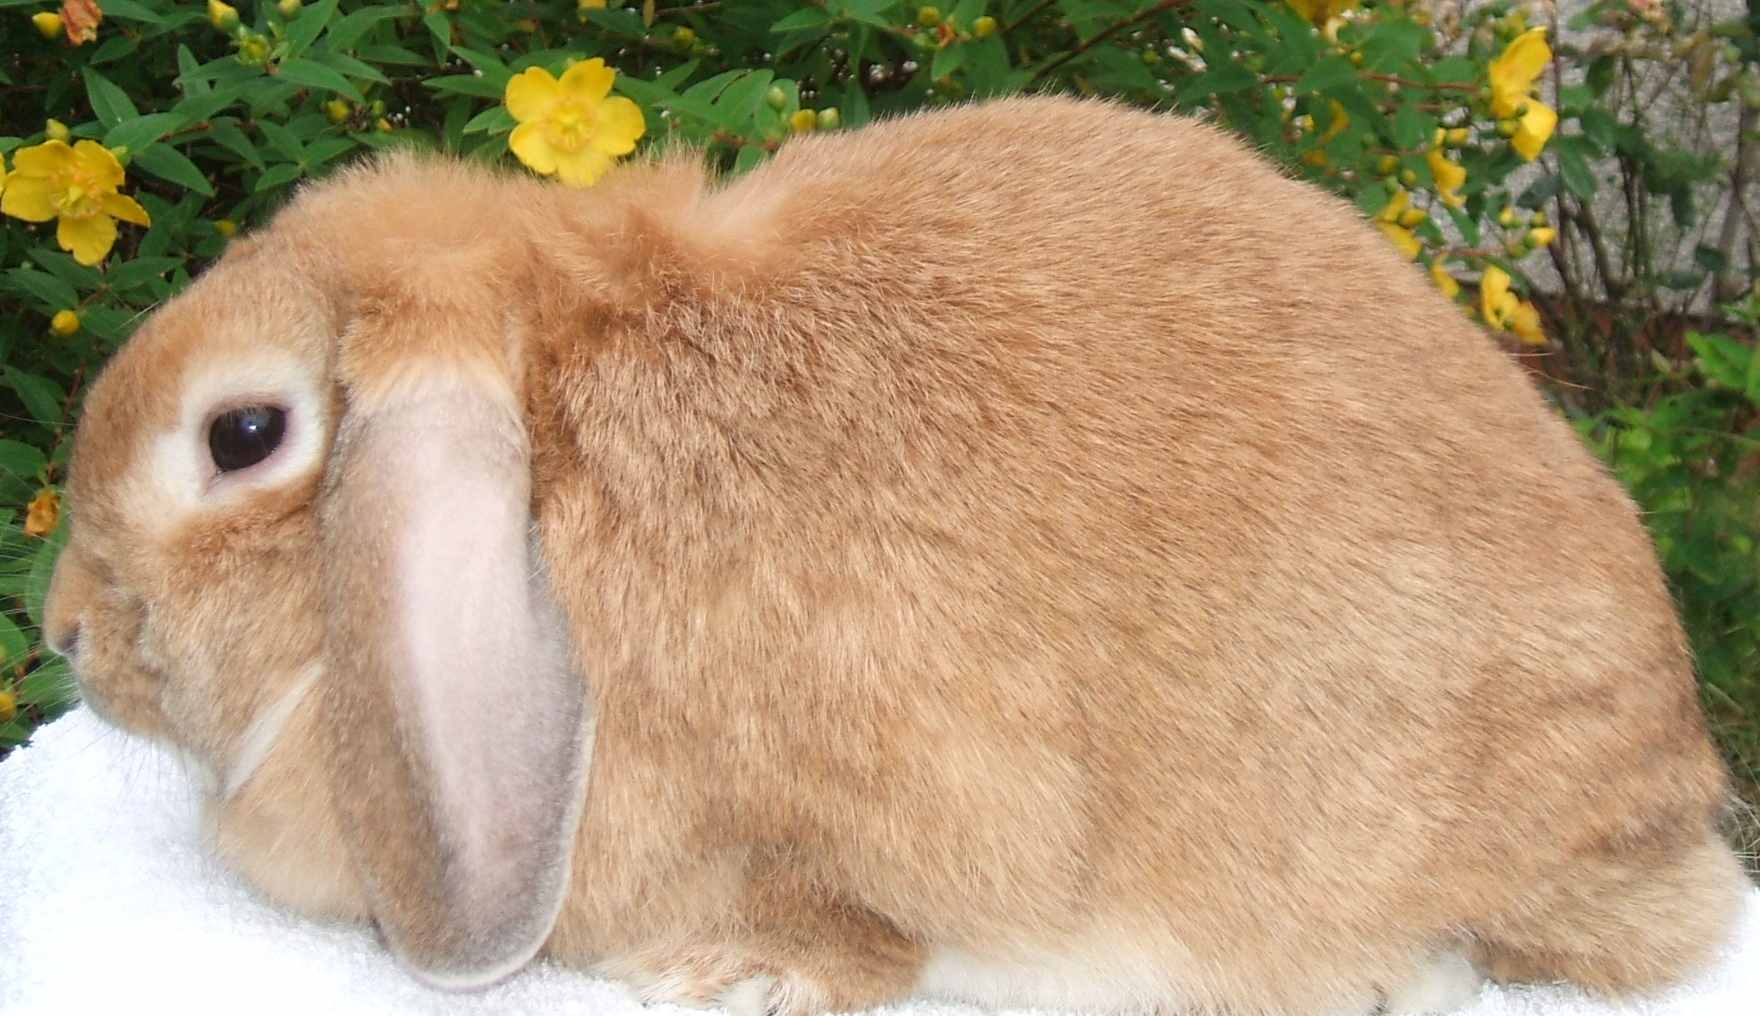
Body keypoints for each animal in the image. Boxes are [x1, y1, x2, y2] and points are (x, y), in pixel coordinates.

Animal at [42, 96, 1749, 1016]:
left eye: (242, 435)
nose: (60, 634)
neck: (559, 445)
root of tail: (1679, 766)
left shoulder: (906, 802)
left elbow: (867, 920)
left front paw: (741, 975)